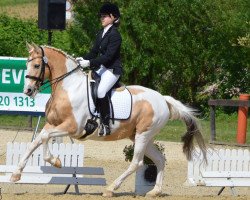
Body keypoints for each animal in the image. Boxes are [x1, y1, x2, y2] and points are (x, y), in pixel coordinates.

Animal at [10, 42, 207, 197]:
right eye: (26, 65)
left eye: (36, 65)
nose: (27, 91)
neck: (68, 88)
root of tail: (163, 99)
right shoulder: (53, 124)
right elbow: (35, 141)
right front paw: (16, 174)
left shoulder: (73, 127)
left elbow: (44, 139)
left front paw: (55, 161)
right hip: (142, 136)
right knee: (159, 160)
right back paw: (154, 192)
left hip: (143, 135)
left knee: (137, 162)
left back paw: (111, 188)